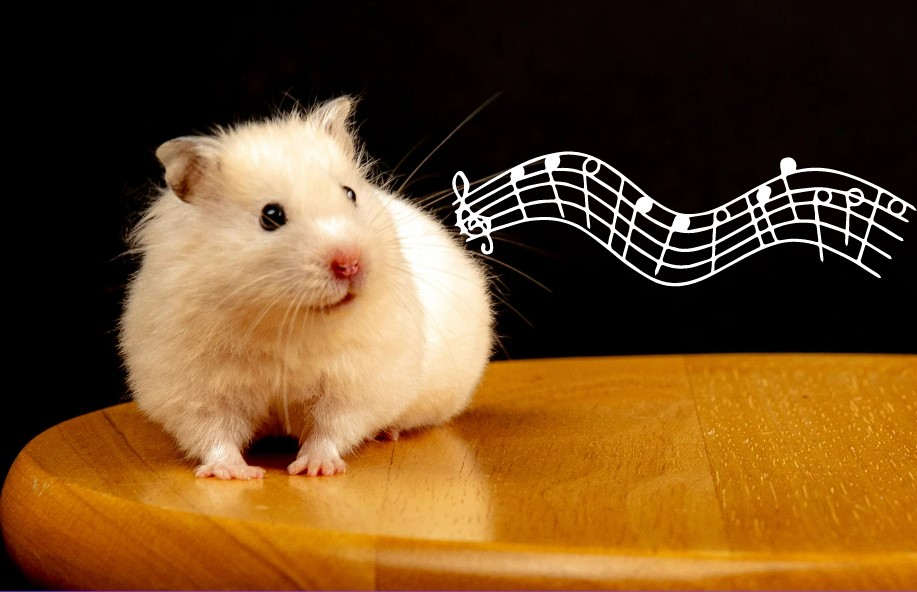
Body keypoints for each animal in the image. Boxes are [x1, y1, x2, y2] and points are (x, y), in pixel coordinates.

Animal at [119, 97, 494, 479]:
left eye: (350, 194)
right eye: (270, 216)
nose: (350, 263)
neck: (286, 320)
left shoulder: (356, 381)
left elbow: (332, 427)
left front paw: (315, 468)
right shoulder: (194, 388)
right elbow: (213, 432)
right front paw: (236, 473)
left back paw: (388, 432)